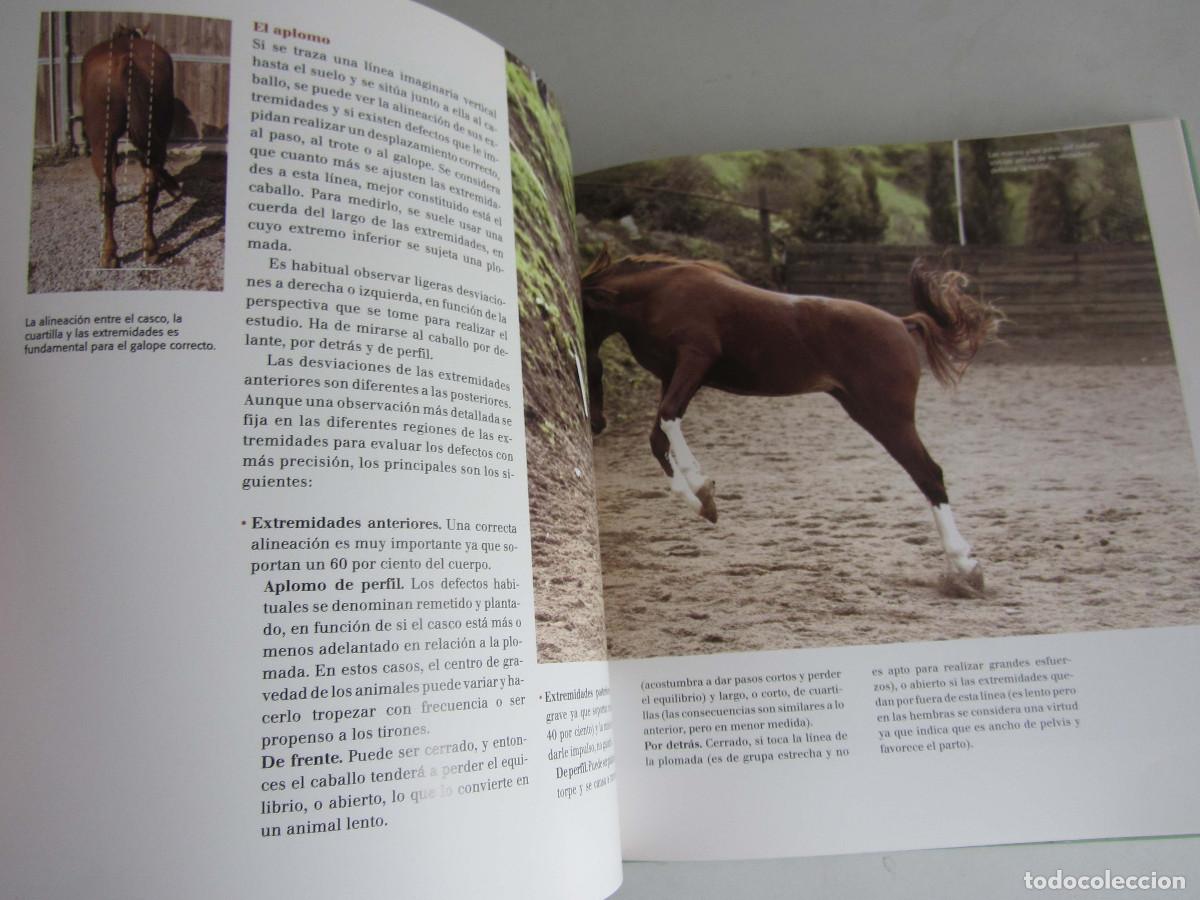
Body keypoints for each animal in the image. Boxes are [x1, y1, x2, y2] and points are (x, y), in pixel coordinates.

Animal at [80, 25, 181, 269]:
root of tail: (127, 59)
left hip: (101, 141)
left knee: (107, 192)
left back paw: (109, 253)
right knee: (150, 187)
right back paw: (151, 248)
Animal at [582, 249, 1001, 590]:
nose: (597, 425)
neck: (655, 294)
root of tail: (901, 323)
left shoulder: (695, 359)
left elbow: (669, 421)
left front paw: (702, 484)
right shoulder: (673, 375)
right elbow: (658, 439)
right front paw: (703, 502)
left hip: (887, 419)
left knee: (929, 474)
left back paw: (966, 568)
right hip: (868, 413)